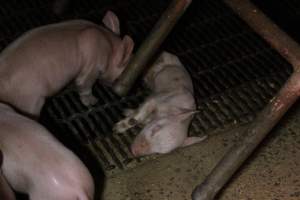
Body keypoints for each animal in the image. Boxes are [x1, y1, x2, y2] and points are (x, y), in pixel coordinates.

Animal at [0, 10, 134, 117]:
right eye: (120, 75)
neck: (108, 45)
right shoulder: (93, 64)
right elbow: (84, 83)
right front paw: (94, 101)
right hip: (29, 102)